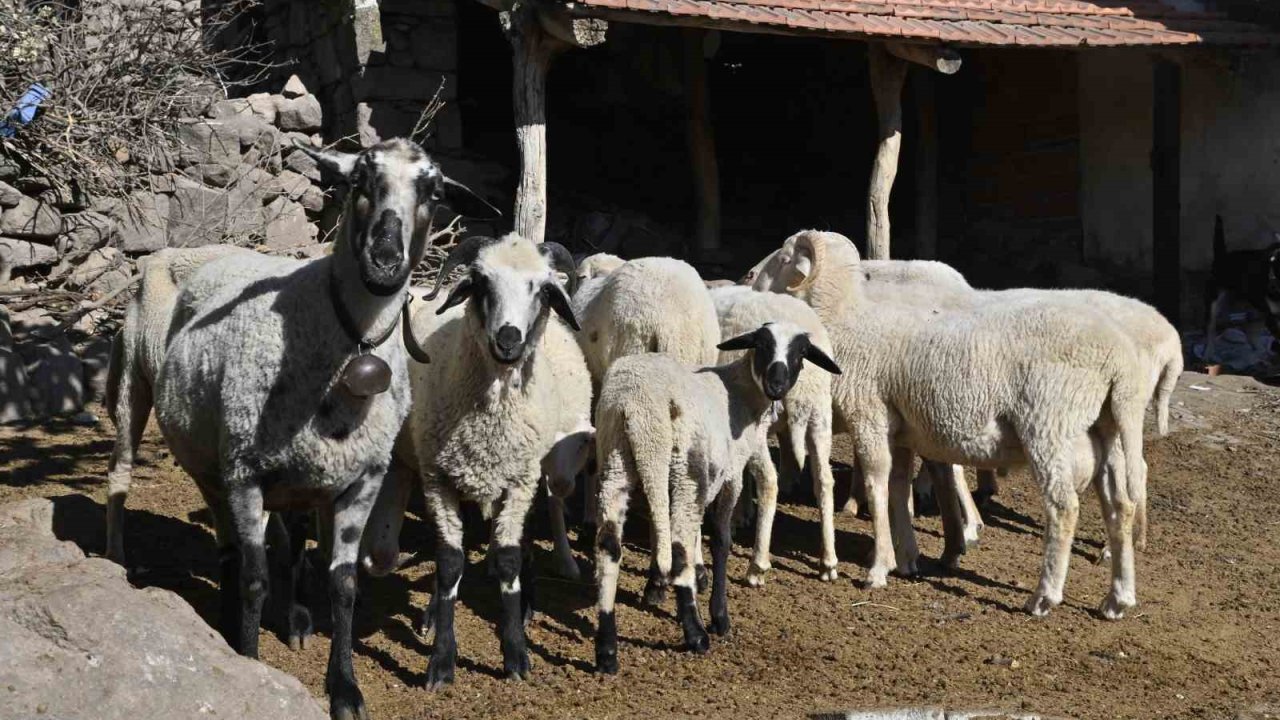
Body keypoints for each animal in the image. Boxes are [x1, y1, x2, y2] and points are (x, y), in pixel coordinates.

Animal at [147, 135, 491, 717]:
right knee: (232, 556)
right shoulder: (245, 473)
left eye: (435, 191)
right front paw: (248, 660)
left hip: (300, 479)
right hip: (213, 472)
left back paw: (298, 620)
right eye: (358, 180)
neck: (351, 342)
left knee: (295, 543)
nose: (385, 261)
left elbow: (344, 583)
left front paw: (345, 687)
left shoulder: (363, 479)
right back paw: (229, 623)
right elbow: (255, 580)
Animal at [363, 233, 586, 686]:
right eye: (481, 283)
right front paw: (441, 659)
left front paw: (516, 652)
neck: (491, 423)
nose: (509, 339)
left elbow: (508, 557)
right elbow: (450, 562)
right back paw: (433, 614)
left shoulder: (519, 480)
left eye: (544, 289)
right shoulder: (438, 478)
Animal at [593, 322, 844, 671]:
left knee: (609, 546)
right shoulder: (731, 476)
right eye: (762, 345)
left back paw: (606, 650)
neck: (740, 392)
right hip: (687, 470)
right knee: (678, 544)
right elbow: (722, 541)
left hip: (616, 459)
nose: (776, 385)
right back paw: (696, 633)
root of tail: (639, 408)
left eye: (802, 352)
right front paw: (719, 614)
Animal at [711, 283, 839, 579]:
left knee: (769, 481)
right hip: (820, 418)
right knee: (824, 480)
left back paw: (757, 564)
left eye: (800, 352)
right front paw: (740, 514)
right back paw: (828, 561)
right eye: (761, 345)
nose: (776, 385)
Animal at [747, 229, 1146, 617]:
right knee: (1120, 506)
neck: (847, 316)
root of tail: (1121, 362)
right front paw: (906, 559)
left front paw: (878, 568)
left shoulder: (869, 414)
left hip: (1050, 427)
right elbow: (897, 488)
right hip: (1106, 431)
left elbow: (877, 485)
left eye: (783, 258)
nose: (747, 276)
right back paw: (1118, 599)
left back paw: (1044, 597)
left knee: (1064, 508)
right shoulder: (900, 428)